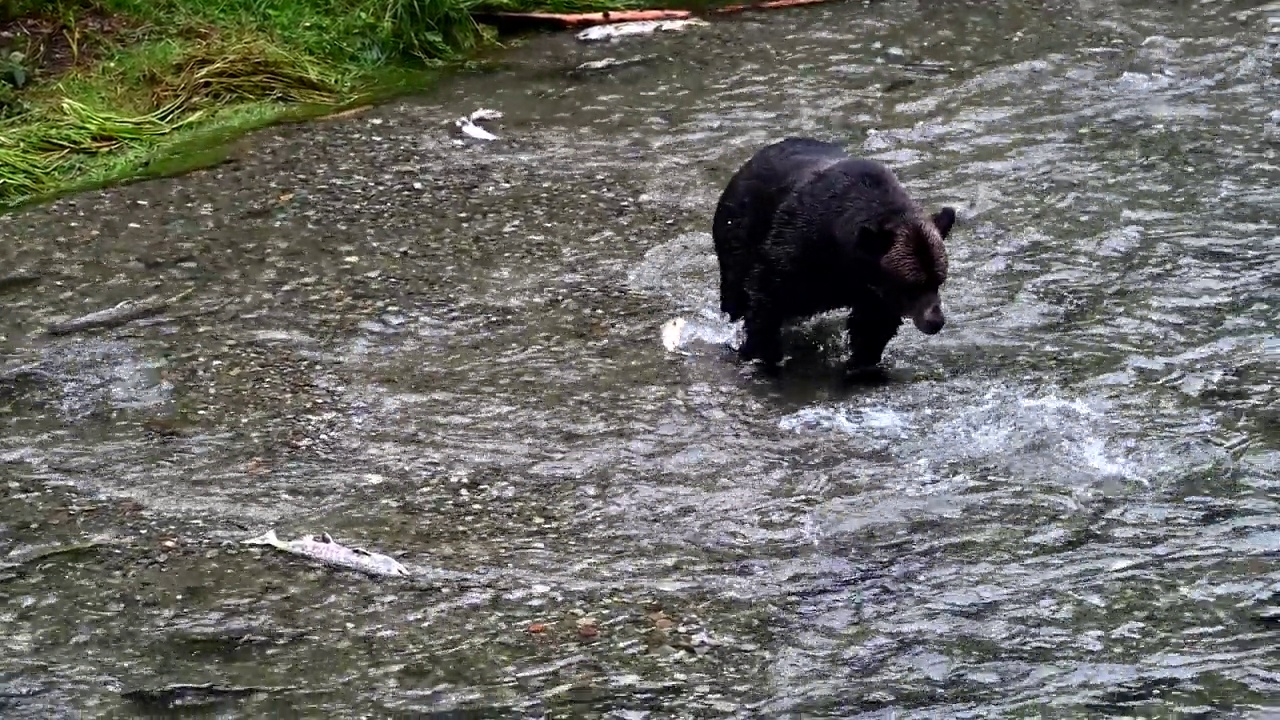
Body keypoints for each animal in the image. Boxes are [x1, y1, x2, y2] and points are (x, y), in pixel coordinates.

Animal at [716, 134, 957, 371]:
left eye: (939, 280)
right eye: (912, 285)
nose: (935, 321)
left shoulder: (873, 291)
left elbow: (872, 326)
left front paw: (861, 361)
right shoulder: (795, 253)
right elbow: (766, 300)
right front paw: (759, 352)